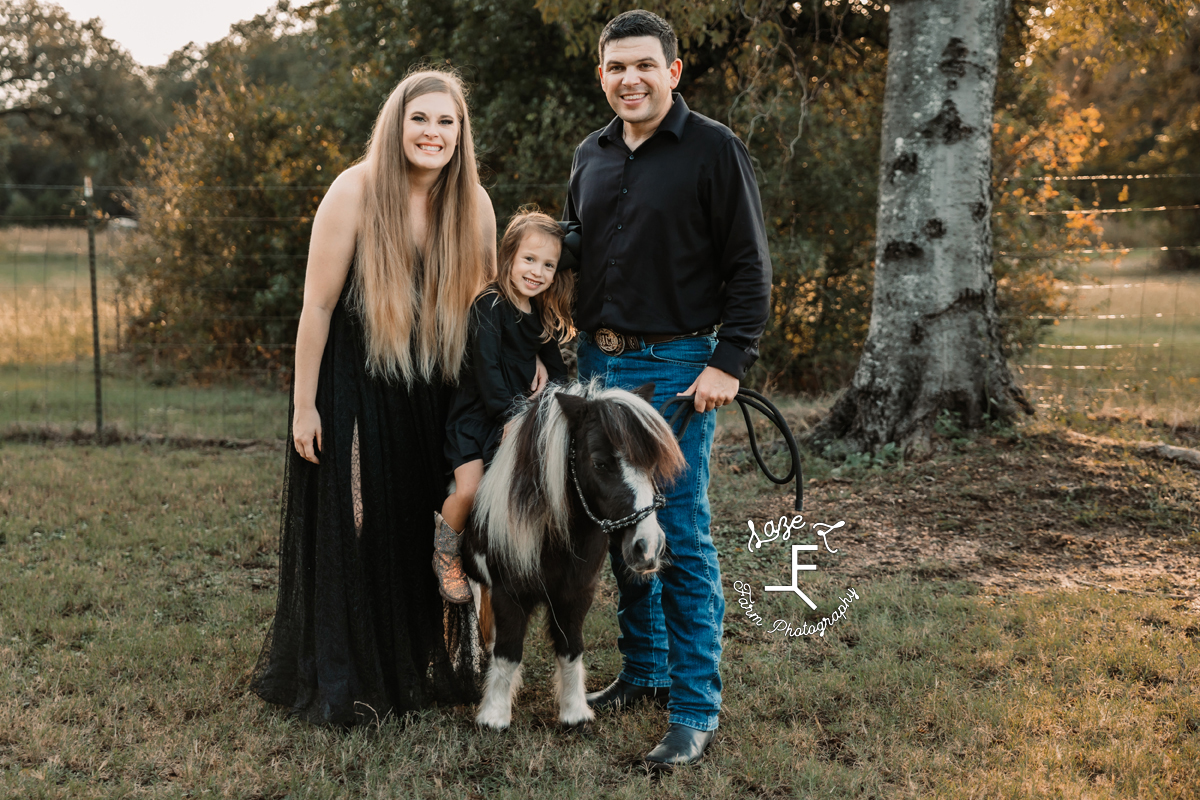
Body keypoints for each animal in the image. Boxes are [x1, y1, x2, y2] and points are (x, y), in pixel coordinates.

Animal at [460, 379, 686, 729]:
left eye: (650, 464)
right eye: (600, 463)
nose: (648, 546)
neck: (552, 536)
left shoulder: (576, 593)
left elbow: (571, 648)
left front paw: (574, 713)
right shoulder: (508, 594)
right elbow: (509, 650)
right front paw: (494, 716)